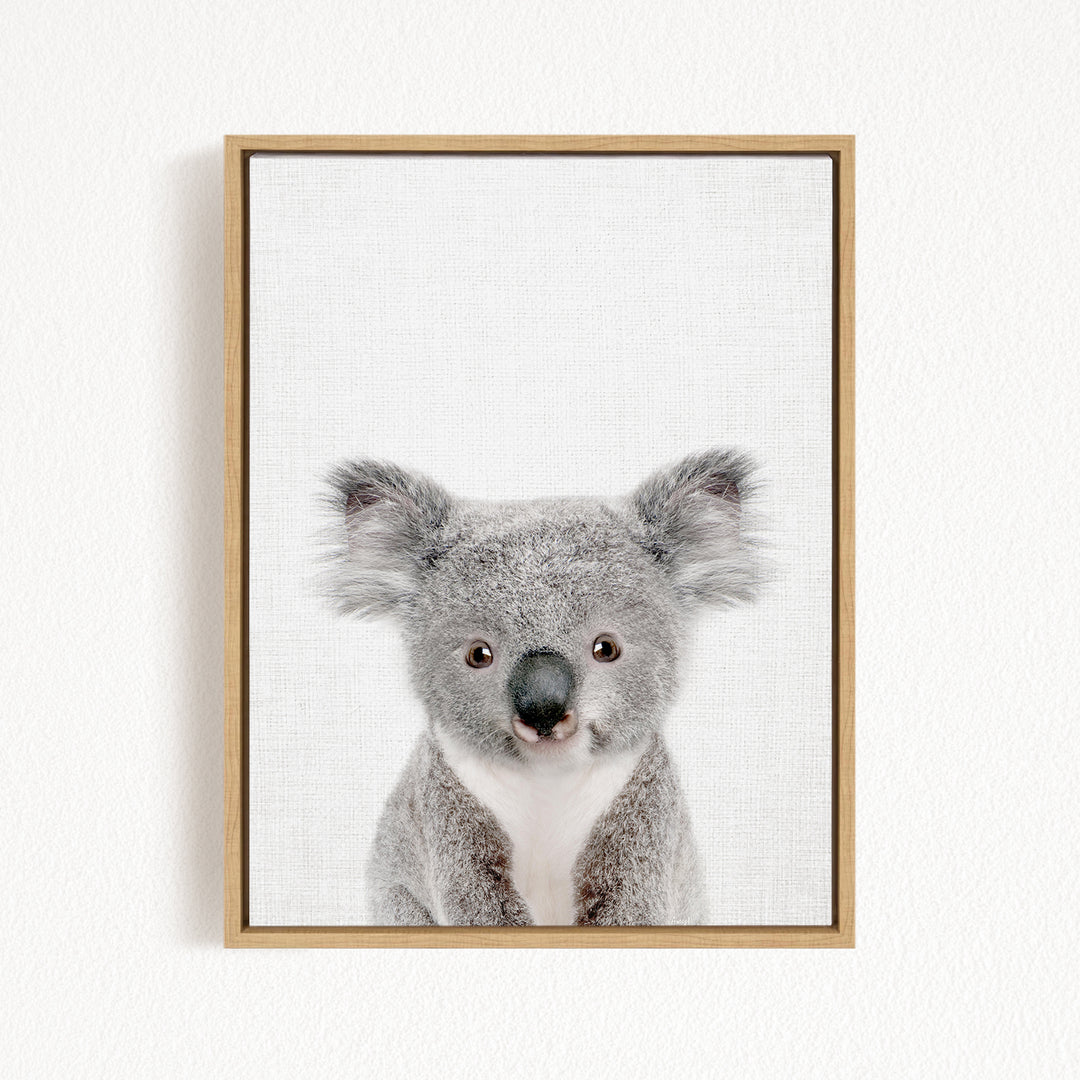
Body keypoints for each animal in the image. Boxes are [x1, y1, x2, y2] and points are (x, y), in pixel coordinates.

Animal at [323, 449, 759, 926]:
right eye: (479, 654)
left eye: (606, 648)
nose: (543, 709)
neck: (547, 780)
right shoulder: (446, 810)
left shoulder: (643, 812)